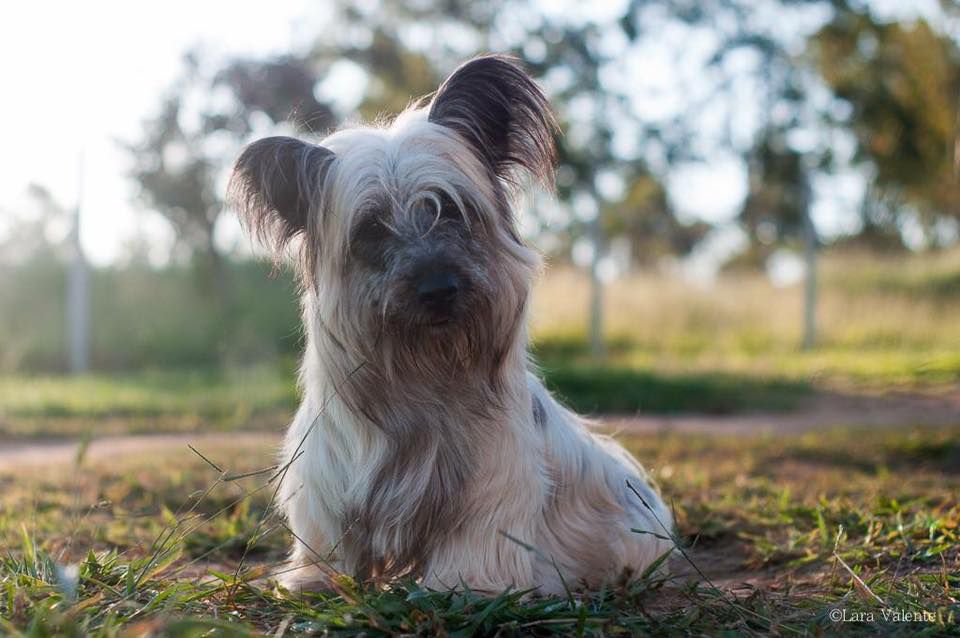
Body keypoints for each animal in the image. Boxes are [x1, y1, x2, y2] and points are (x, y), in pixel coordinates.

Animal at [228, 53, 672, 596]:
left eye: (451, 210)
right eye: (371, 227)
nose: (438, 288)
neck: (426, 371)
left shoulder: (489, 489)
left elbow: (474, 546)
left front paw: (463, 586)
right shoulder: (326, 479)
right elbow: (330, 539)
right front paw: (317, 578)